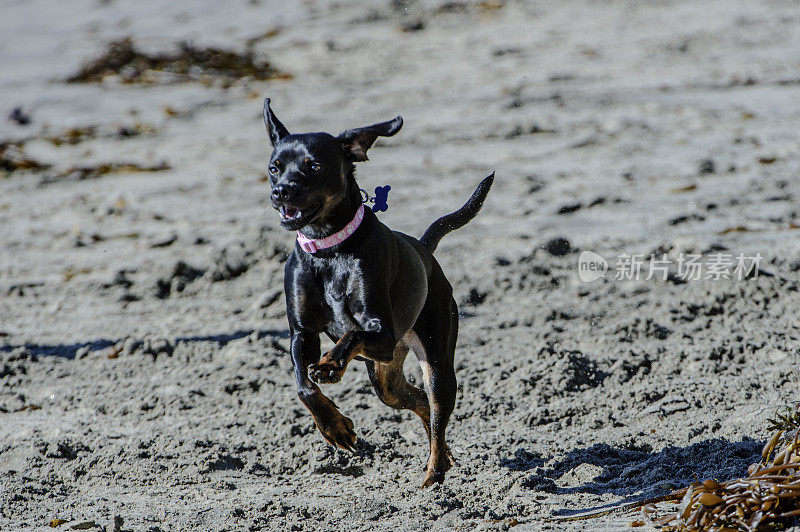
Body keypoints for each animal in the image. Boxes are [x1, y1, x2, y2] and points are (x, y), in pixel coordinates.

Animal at [262, 98, 490, 486]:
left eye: (314, 166)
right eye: (274, 168)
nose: (281, 192)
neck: (329, 250)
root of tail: (424, 250)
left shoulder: (380, 332)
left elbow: (352, 333)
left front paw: (330, 364)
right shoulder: (301, 333)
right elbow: (303, 385)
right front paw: (335, 427)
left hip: (433, 356)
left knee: (437, 404)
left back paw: (435, 472)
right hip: (385, 375)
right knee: (417, 401)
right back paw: (442, 455)